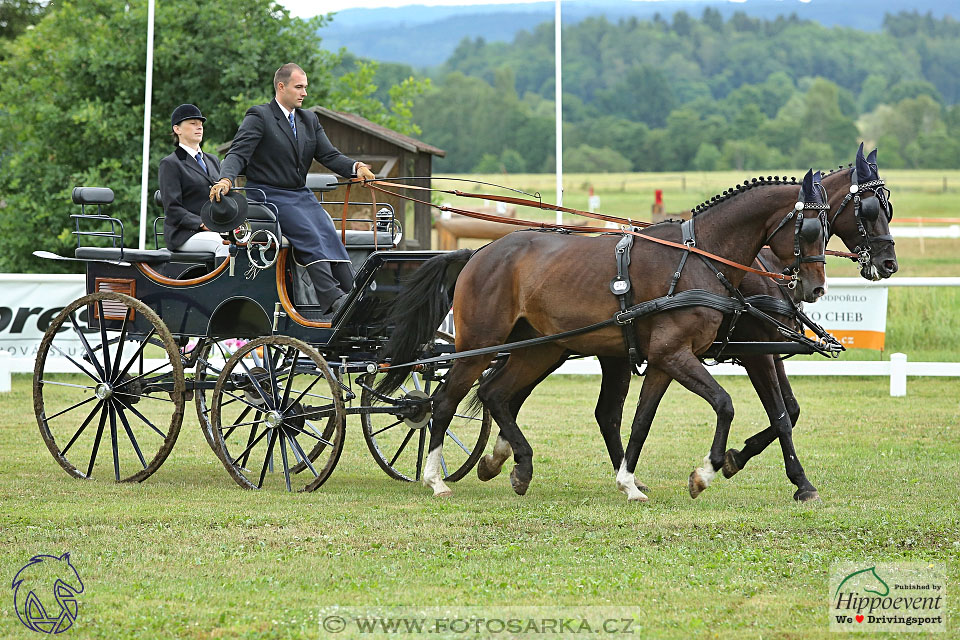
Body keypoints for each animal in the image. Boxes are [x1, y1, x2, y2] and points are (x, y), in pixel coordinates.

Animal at [378, 169, 828, 500]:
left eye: (827, 228)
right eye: (809, 230)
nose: (814, 288)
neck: (698, 257)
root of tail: (479, 252)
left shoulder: (665, 360)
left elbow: (641, 421)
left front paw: (630, 482)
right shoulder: (678, 354)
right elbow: (725, 404)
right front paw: (707, 471)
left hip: (538, 349)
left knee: (495, 394)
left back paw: (519, 465)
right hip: (479, 346)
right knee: (443, 402)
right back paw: (436, 479)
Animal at [476, 142, 896, 502]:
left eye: (888, 208)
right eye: (868, 211)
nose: (888, 263)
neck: (715, 258)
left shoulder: (765, 349)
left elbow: (787, 412)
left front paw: (743, 461)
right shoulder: (749, 352)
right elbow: (773, 414)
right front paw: (786, 478)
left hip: (561, 347)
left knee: (537, 400)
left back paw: (502, 457)